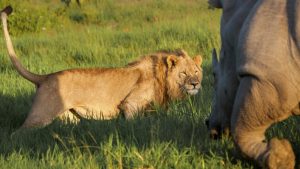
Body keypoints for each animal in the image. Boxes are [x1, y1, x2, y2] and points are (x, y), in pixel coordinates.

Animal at [1, 5, 203, 129]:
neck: (162, 77)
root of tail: (45, 77)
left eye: (196, 72)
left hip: (69, 119)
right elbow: (132, 121)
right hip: (40, 115)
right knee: (17, 133)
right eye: (183, 73)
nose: (195, 84)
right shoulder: (130, 104)